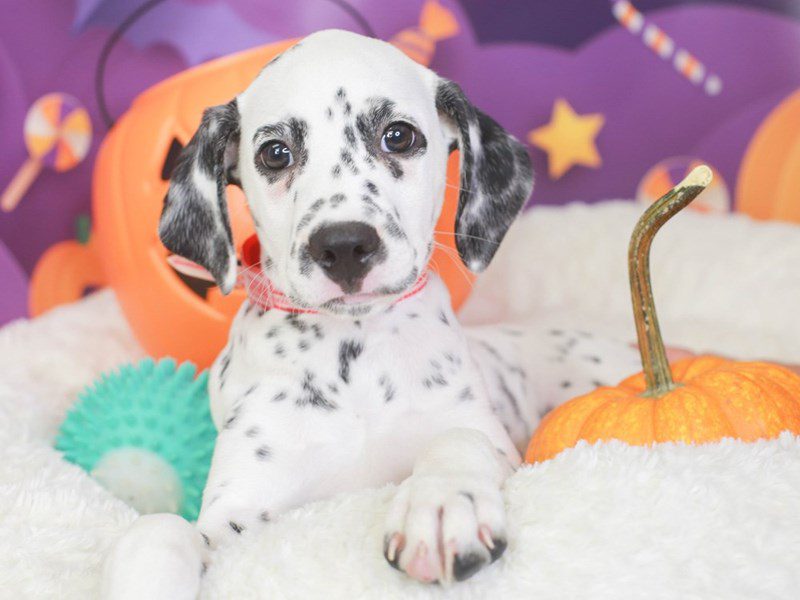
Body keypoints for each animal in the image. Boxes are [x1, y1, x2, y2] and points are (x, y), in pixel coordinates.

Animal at [103, 30, 640, 596]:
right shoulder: (241, 510)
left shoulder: (493, 442)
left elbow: (458, 439)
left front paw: (441, 506)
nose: (342, 245)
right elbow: (160, 528)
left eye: (398, 137)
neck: (354, 353)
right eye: (275, 153)